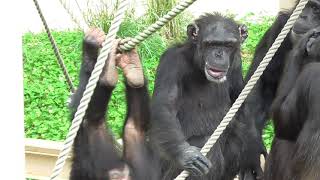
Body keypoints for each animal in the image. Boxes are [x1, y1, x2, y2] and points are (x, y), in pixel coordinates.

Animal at [149, 13, 264, 180]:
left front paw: (253, 153)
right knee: (203, 143)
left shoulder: (236, 63)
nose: (218, 54)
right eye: (210, 44)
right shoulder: (171, 62)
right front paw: (186, 155)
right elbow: (165, 106)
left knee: (238, 137)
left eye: (228, 45)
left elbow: (240, 100)